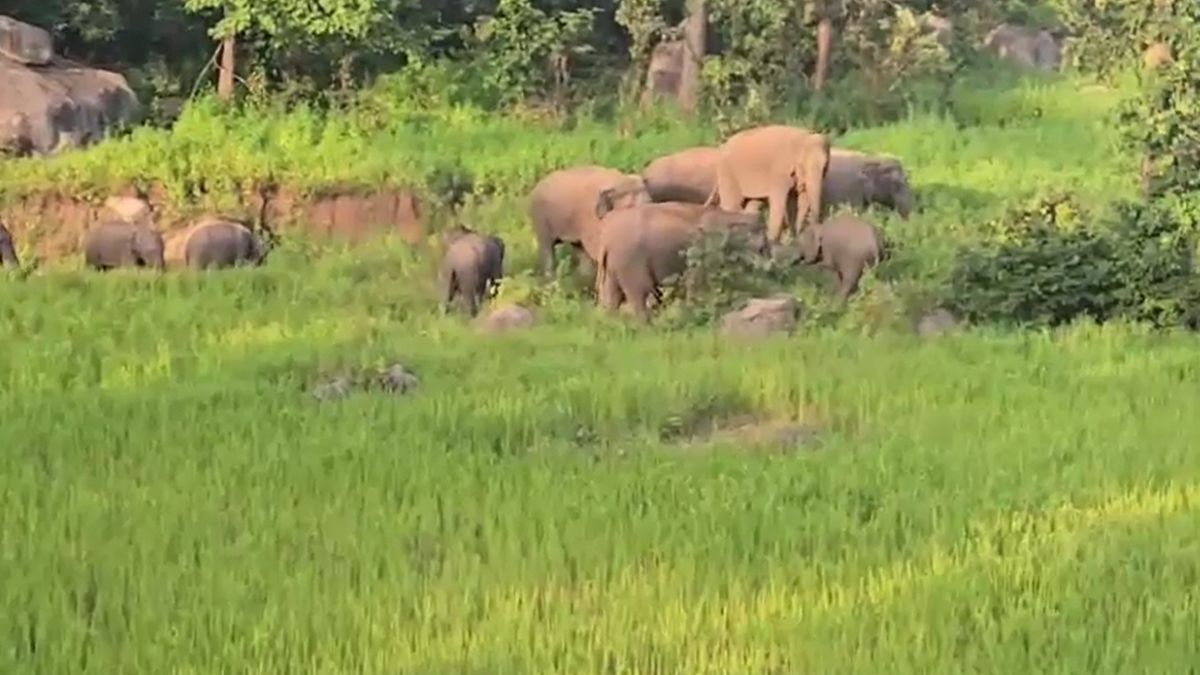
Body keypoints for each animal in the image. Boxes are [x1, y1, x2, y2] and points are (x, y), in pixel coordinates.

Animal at [595, 201, 769, 322]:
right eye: (761, 246)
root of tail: (606, 238)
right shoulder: (701, 251)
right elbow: (697, 283)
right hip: (630, 260)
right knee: (639, 293)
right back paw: (648, 328)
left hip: (614, 264)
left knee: (611, 295)